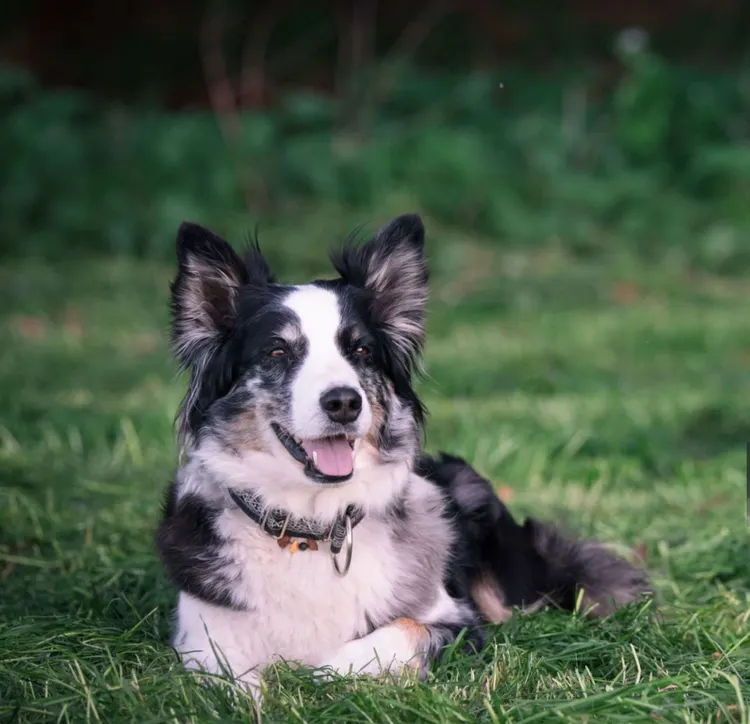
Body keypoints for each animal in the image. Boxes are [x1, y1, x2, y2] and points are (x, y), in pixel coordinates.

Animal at [156, 215, 648, 700]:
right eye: (277, 351)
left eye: (361, 351)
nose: (344, 402)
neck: (310, 527)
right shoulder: (203, 637)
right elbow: (230, 685)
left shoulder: (457, 622)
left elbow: (385, 638)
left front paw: (317, 675)